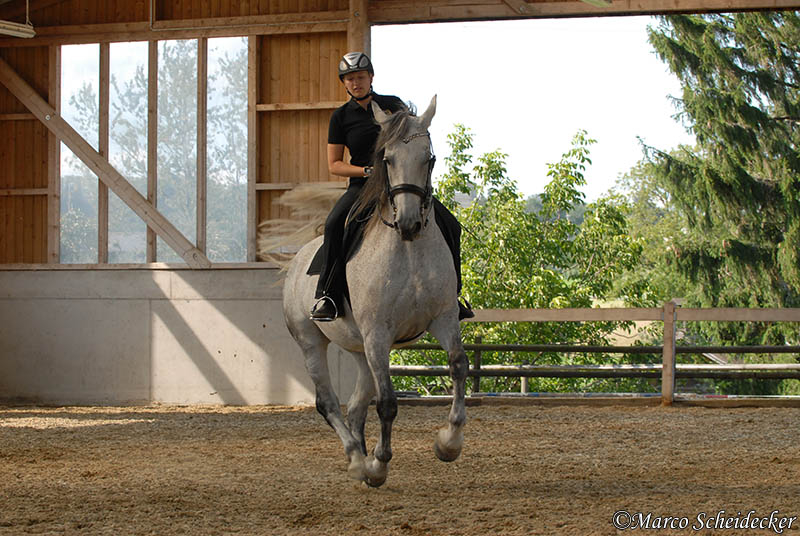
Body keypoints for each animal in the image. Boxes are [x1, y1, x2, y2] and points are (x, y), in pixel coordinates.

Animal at [278, 96, 468, 487]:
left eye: (429, 158)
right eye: (387, 158)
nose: (409, 223)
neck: (409, 250)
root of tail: (299, 258)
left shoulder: (443, 319)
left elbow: (459, 366)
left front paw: (448, 443)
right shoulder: (378, 333)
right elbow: (388, 403)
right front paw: (380, 466)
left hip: (359, 349)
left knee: (354, 405)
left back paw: (361, 456)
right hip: (312, 342)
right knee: (328, 403)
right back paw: (357, 459)